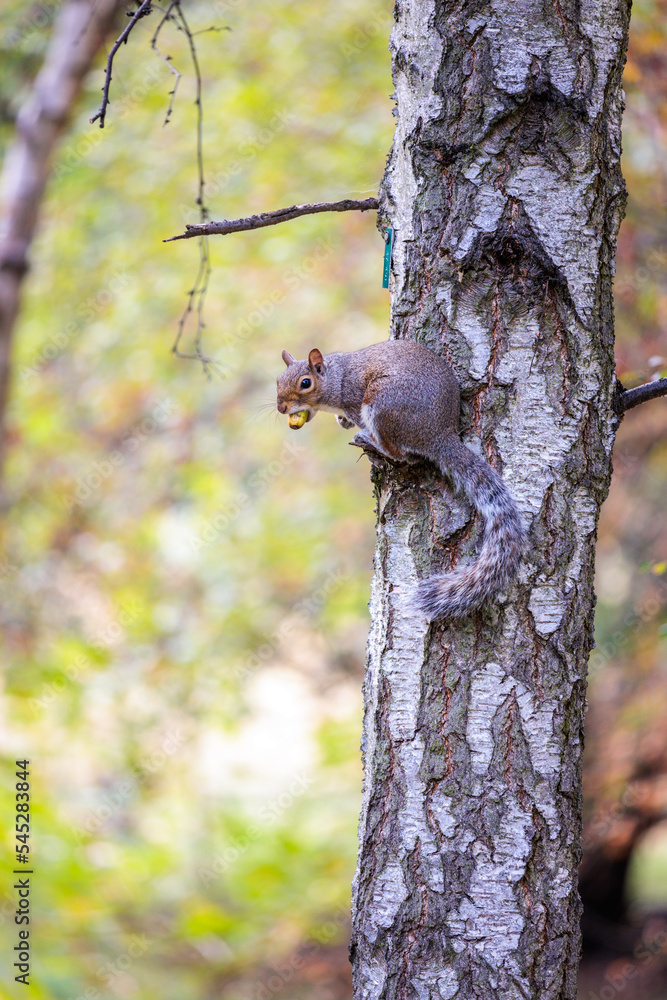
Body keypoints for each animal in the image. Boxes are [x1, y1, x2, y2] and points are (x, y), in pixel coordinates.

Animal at [276, 340, 523, 620]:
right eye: (278, 380)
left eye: (305, 383)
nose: (281, 408)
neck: (336, 378)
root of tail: (439, 435)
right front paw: (341, 421)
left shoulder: (354, 398)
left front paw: (352, 426)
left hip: (383, 404)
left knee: (399, 453)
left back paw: (371, 441)